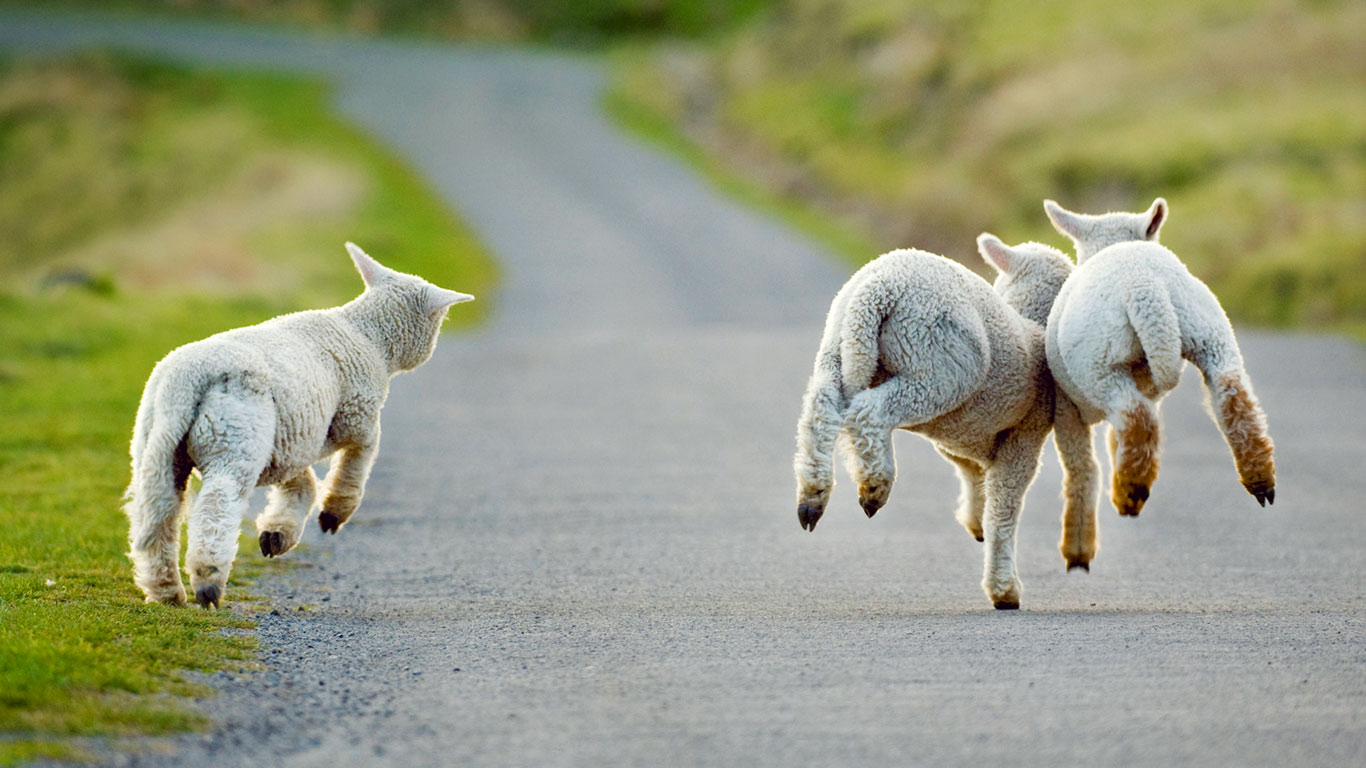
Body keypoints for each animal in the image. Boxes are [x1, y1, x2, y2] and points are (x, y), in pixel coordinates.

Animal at [123, 243, 474, 608]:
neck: (368, 337)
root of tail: (187, 380)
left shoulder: (292, 439)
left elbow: (301, 485)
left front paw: (277, 534)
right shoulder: (355, 416)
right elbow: (360, 456)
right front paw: (335, 512)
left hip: (157, 447)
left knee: (158, 515)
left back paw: (165, 591)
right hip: (235, 439)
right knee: (217, 505)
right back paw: (208, 582)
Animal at [794, 238, 1073, 609]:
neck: (1031, 323)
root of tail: (877, 289)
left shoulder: (961, 438)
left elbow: (973, 475)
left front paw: (975, 521)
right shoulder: (1025, 433)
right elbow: (1004, 506)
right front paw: (1004, 589)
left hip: (836, 349)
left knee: (820, 409)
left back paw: (812, 497)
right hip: (933, 365)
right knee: (871, 411)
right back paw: (874, 487)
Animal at [1042, 198, 1276, 570]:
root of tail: (1144, 284)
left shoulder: (1071, 404)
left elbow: (1097, 452)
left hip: (1101, 363)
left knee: (1135, 416)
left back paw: (1130, 492)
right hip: (1208, 330)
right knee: (1232, 394)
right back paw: (1260, 478)